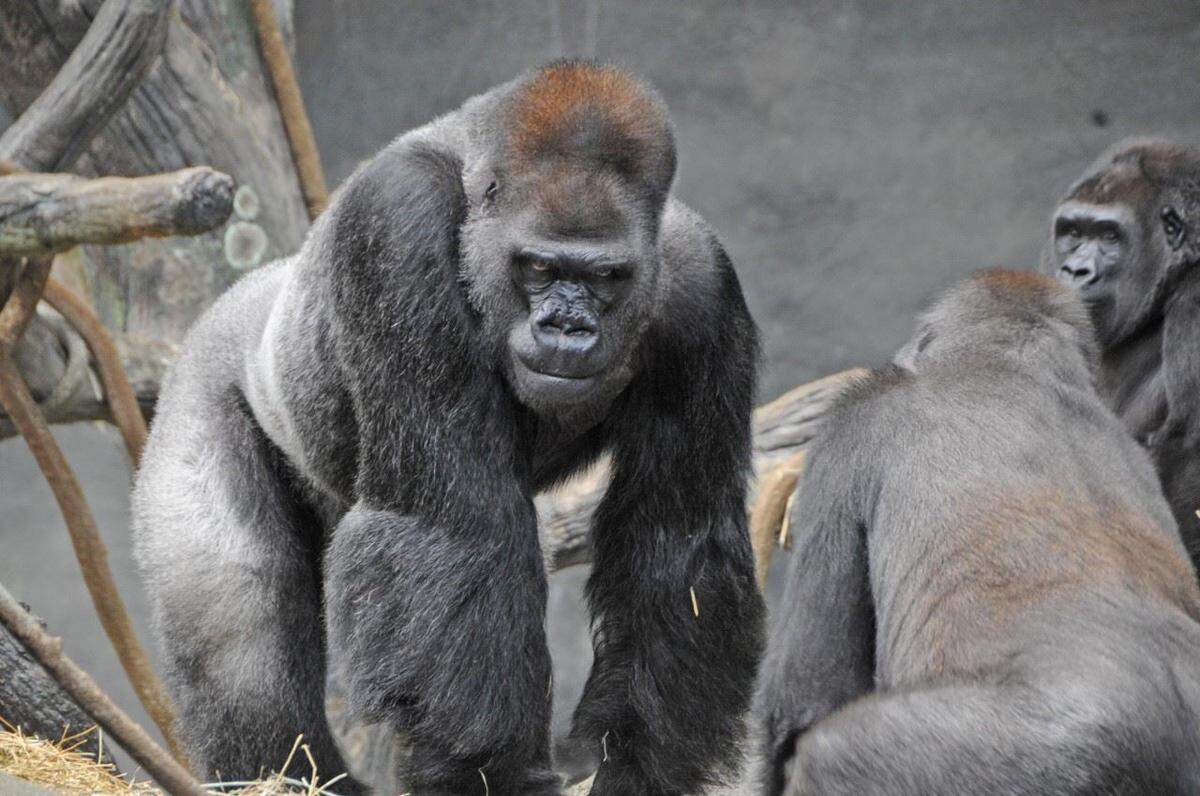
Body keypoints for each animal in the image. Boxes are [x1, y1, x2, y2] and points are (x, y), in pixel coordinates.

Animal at [131, 60, 764, 794]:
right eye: (539, 268)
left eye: (607, 277)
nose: (567, 328)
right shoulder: (400, 219)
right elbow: (458, 527)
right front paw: (499, 774)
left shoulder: (701, 286)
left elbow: (677, 544)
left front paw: (638, 763)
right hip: (199, 395)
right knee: (241, 638)